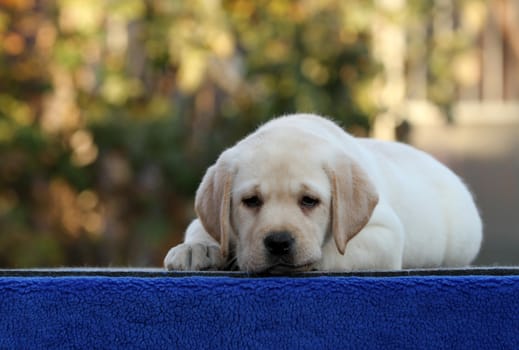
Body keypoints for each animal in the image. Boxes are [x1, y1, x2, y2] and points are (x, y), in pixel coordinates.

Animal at [164, 114, 484, 274]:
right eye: (251, 201)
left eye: (309, 201)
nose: (279, 242)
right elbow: (200, 228)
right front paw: (195, 249)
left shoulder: (386, 235)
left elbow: (337, 251)